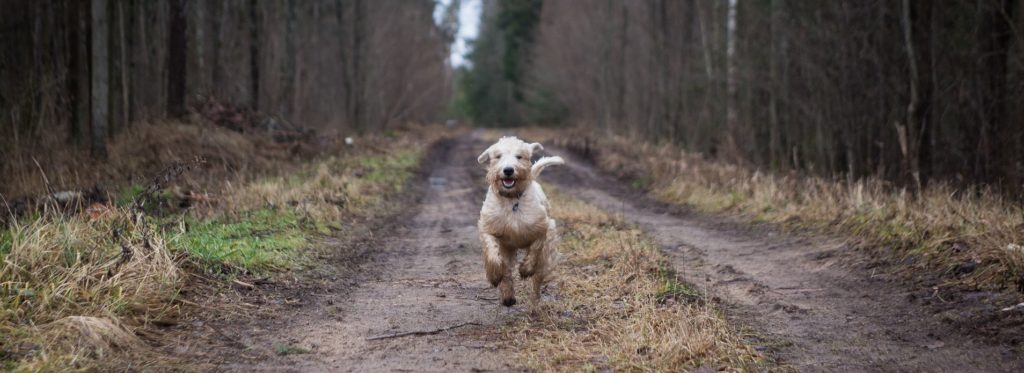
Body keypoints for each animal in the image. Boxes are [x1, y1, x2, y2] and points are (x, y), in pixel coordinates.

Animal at [477, 136, 565, 305]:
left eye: (519, 156)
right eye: (498, 156)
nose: (508, 170)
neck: (512, 200)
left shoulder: (543, 227)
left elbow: (536, 247)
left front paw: (525, 269)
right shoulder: (489, 228)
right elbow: (493, 254)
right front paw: (494, 276)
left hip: (546, 257)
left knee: (537, 278)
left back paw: (534, 302)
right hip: (507, 249)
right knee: (506, 270)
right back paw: (508, 296)